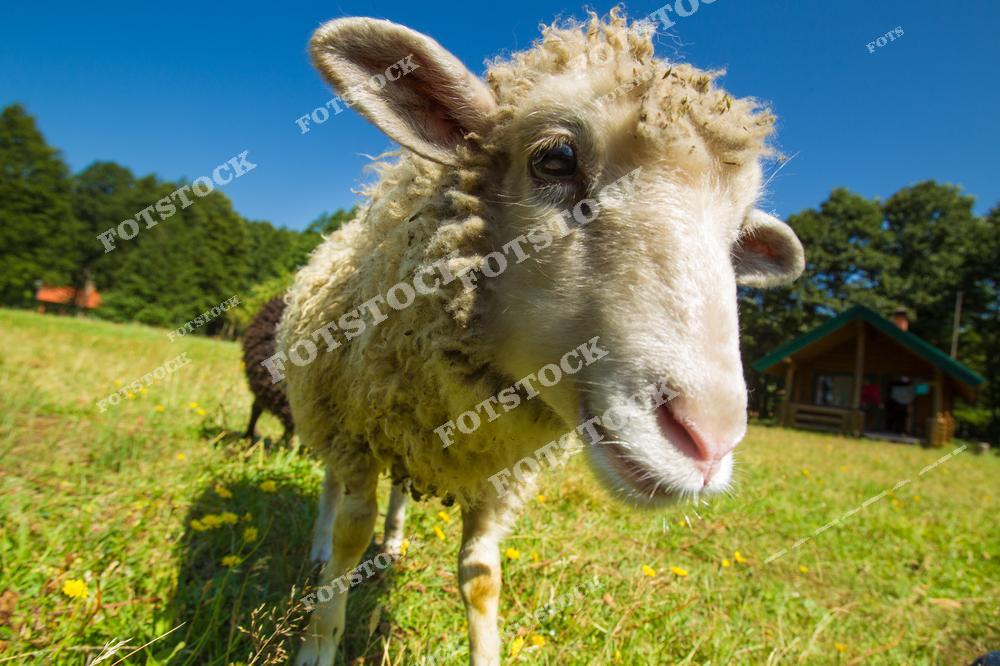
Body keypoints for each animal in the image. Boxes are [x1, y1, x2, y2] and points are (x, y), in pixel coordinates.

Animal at [281, 10, 804, 665]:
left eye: (738, 237)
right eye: (555, 159)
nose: (707, 442)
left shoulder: (496, 473)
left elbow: (481, 576)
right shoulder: (358, 434)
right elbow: (352, 535)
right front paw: (319, 640)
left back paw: (394, 543)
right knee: (330, 491)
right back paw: (318, 548)